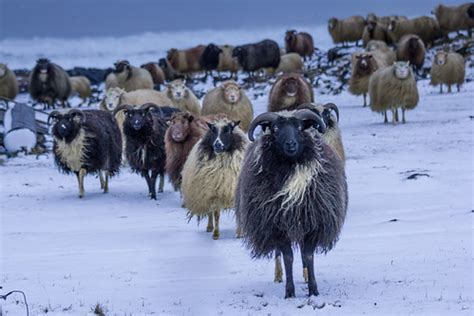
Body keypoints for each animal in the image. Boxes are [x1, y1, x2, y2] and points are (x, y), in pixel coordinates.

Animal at [237, 110, 348, 298]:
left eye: (299, 127)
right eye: (275, 129)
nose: (291, 143)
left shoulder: (313, 224)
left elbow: (308, 256)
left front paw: (313, 290)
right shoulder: (277, 227)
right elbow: (288, 257)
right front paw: (289, 292)